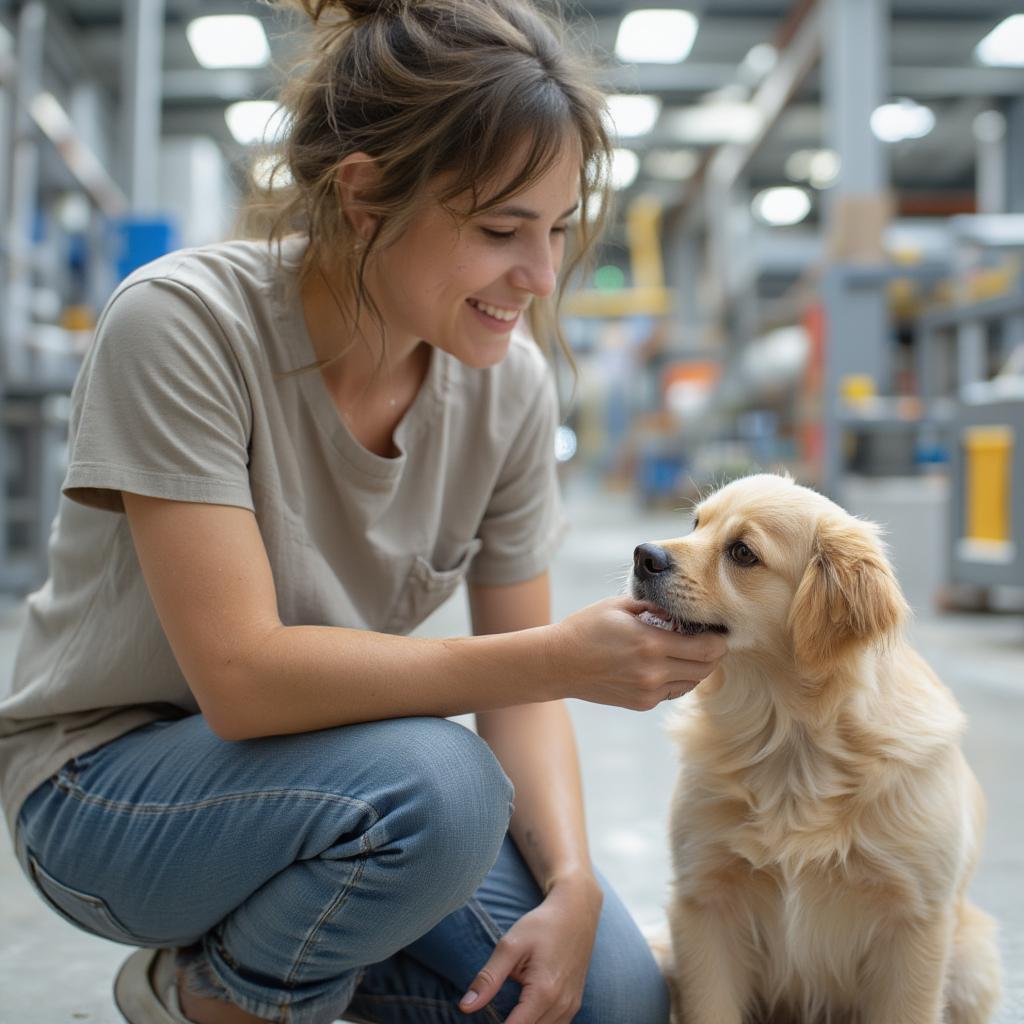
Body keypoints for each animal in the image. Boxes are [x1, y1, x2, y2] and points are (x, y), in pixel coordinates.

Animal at [630, 477, 999, 1024]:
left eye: (742, 552)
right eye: (696, 524)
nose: (643, 556)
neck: (794, 737)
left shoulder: (915, 922)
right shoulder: (703, 901)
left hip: (974, 960)